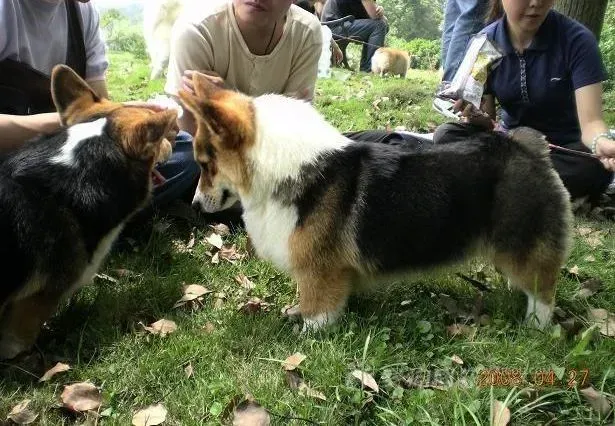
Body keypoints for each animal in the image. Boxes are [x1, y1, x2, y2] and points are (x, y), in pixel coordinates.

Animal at [180, 73, 576, 332]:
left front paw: (306, 335)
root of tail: (529, 148)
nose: (195, 206)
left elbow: (317, 310)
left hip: (523, 243)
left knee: (544, 290)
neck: (282, 168)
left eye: (205, 163)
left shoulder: (320, 272)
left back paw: (535, 326)